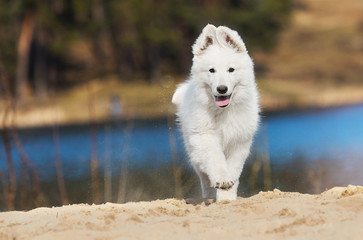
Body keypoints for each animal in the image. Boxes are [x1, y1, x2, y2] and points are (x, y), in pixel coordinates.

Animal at [173, 24, 260, 202]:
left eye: (231, 70)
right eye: (211, 70)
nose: (222, 89)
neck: (223, 111)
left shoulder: (239, 142)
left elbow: (234, 169)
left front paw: (227, 197)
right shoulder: (205, 137)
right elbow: (215, 159)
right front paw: (222, 180)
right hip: (193, 149)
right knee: (204, 176)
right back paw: (209, 195)